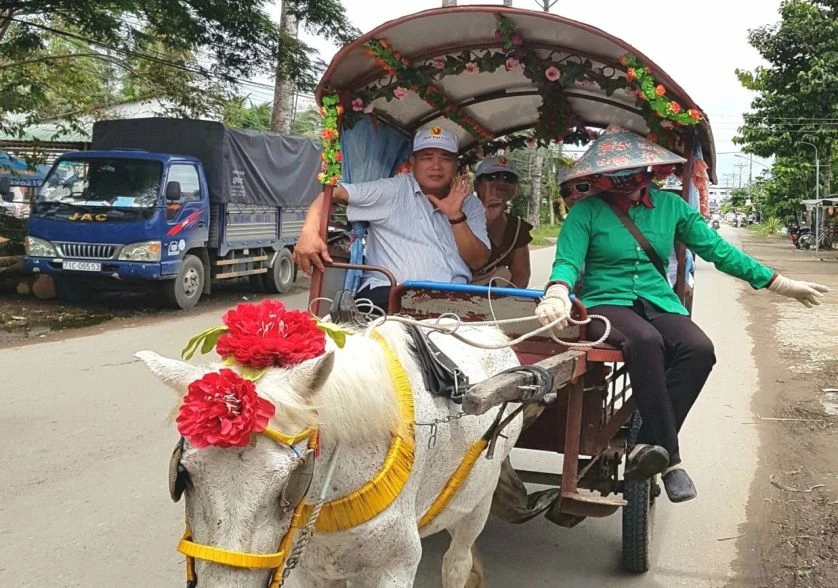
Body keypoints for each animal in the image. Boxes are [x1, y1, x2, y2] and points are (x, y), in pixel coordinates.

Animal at [136, 322, 524, 588]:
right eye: (184, 476)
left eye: (290, 482)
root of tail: (488, 330)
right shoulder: (313, 568)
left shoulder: (393, 569)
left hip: (478, 502)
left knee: (457, 560)